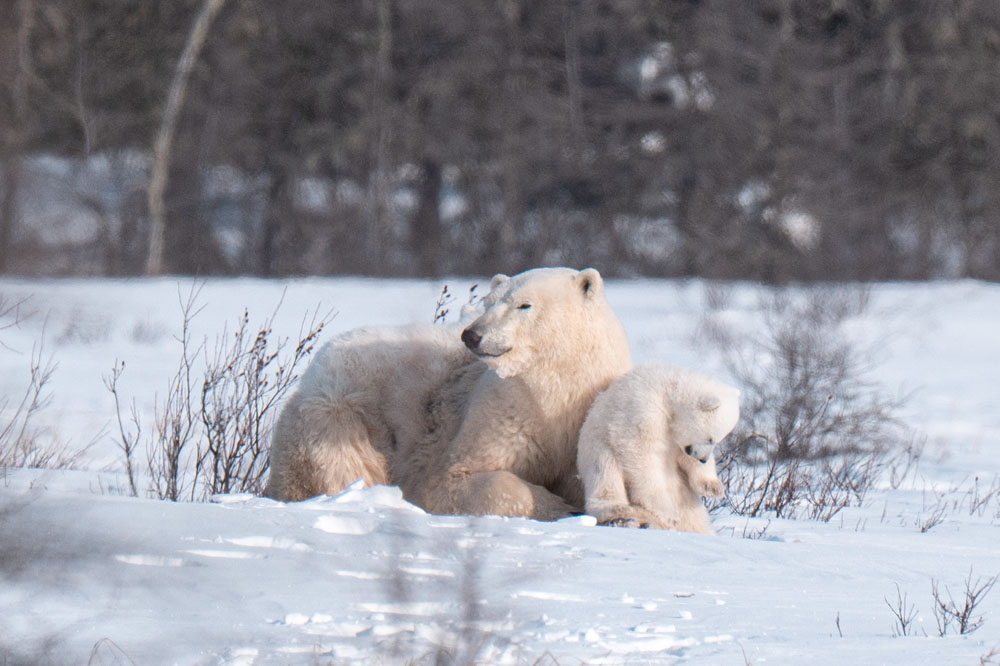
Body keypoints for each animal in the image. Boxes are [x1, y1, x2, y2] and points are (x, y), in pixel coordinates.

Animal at [266, 264, 632, 520]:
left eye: (524, 305)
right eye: (488, 302)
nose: (472, 335)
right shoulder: (501, 413)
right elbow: (457, 481)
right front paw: (560, 507)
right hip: (337, 417)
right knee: (338, 467)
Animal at [580, 360, 736, 532]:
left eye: (717, 440)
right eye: (710, 438)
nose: (703, 459)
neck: (668, 392)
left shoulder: (675, 439)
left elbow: (685, 458)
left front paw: (713, 487)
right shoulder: (644, 413)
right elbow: (640, 457)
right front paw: (669, 515)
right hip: (597, 446)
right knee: (605, 474)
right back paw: (623, 513)